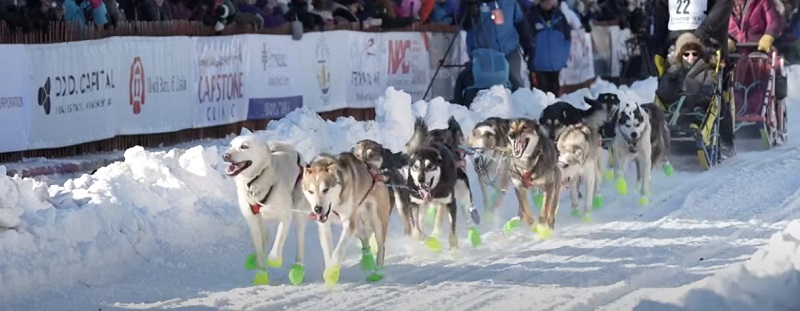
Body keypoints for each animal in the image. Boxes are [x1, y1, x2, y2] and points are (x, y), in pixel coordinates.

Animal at [222, 130, 310, 286]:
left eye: (244, 146)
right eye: (230, 145)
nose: (225, 156)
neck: (255, 180)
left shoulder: (285, 217)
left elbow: (277, 243)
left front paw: (274, 260)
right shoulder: (253, 221)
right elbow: (260, 248)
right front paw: (261, 272)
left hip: (299, 212)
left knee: (299, 240)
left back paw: (298, 268)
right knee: (266, 235)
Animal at [300, 152, 390, 286]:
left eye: (325, 189)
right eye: (310, 191)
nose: (317, 208)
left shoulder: (348, 224)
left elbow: (338, 251)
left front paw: (331, 272)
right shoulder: (324, 226)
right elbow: (328, 251)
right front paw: (330, 270)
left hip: (377, 222)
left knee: (381, 247)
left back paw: (377, 272)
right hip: (357, 226)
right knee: (364, 238)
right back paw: (367, 260)